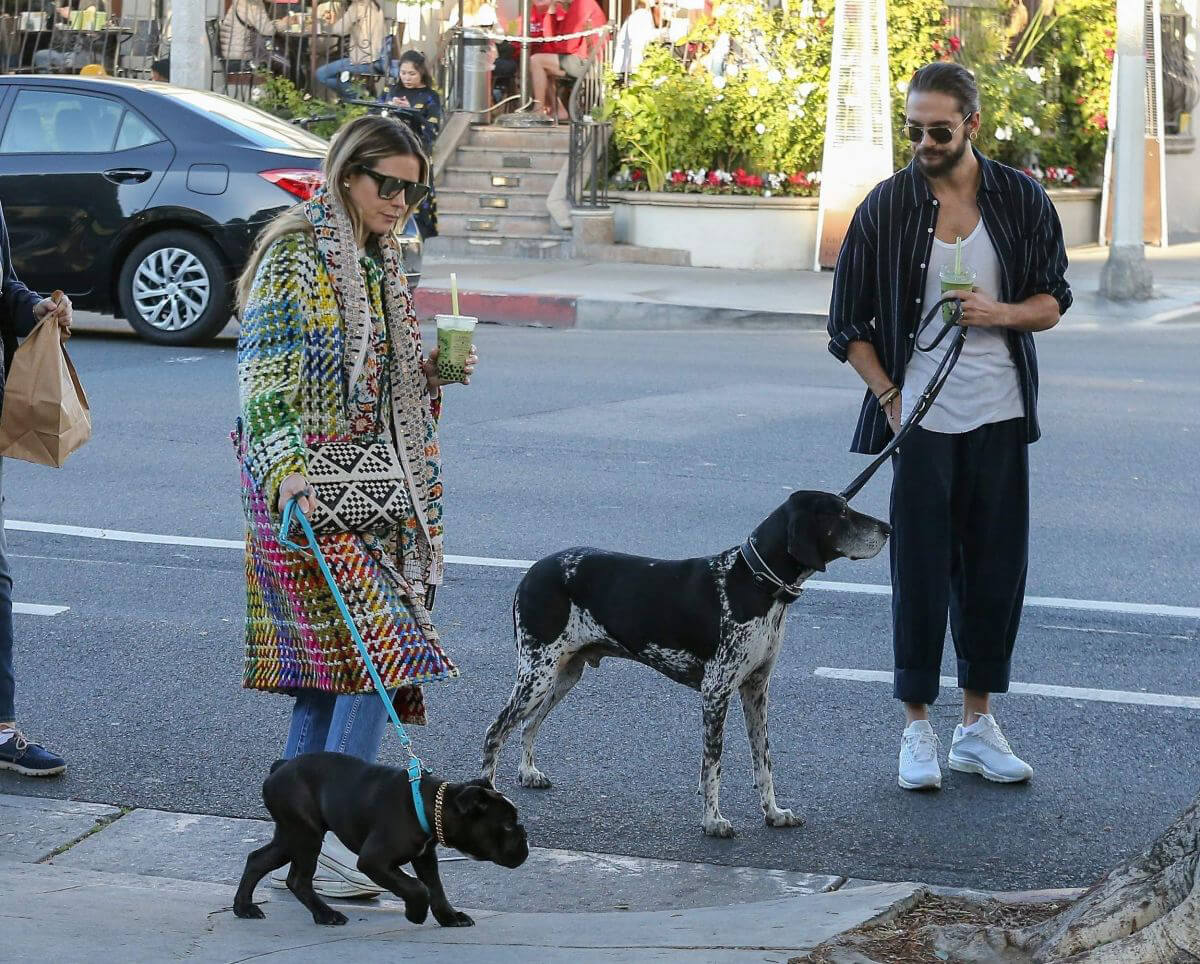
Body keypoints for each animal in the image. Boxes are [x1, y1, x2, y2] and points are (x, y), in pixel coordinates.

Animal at [236, 753, 528, 926]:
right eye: (507, 825)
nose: (524, 836)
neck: (432, 803)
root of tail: (280, 766)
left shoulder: (425, 856)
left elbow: (435, 887)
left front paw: (449, 916)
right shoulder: (374, 861)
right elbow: (416, 887)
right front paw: (416, 913)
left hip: (291, 835)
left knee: (257, 859)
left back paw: (244, 908)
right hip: (306, 836)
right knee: (298, 879)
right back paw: (326, 914)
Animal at [480, 489, 892, 835]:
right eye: (841, 512)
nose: (888, 528)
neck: (753, 582)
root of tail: (533, 572)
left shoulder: (756, 690)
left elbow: (763, 763)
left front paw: (773, 813)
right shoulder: (716, 692)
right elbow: (713, 765)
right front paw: (713, 821)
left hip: (563, 674)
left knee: (528, 724)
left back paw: (528, 772)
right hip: (538, 674)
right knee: (496, 730)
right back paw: (487, 793)